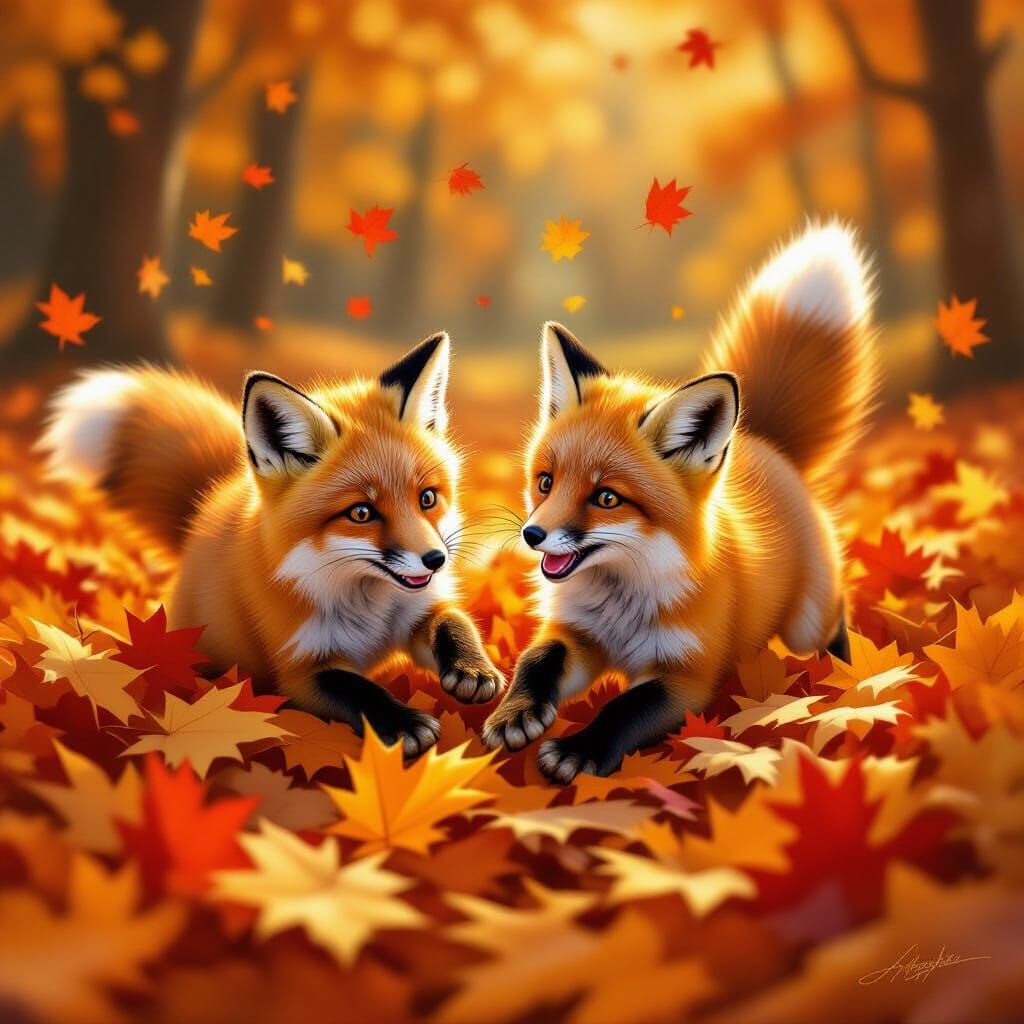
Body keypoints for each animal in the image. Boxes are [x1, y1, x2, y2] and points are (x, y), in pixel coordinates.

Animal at [41, 333, 504, 756]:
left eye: (427, 498)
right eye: (361, 513)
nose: (436, 559)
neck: (368, 607)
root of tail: (208, 505)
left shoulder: (419, 608)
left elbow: (453, 622)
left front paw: (472, 667)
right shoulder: (300, 669)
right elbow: (357, 689)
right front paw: (403, 722)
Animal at [482, 221, 879, 783]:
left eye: (606, 497)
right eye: (545, 482)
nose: (532, 535)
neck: (623, 601)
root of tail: (765, 443)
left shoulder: (688, 676)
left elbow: (624, 708)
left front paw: (580, 750)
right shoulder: (577, 633)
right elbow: (536, 660)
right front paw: (516, 712)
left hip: (805, 625)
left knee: (834, 617)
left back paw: (844, 667)